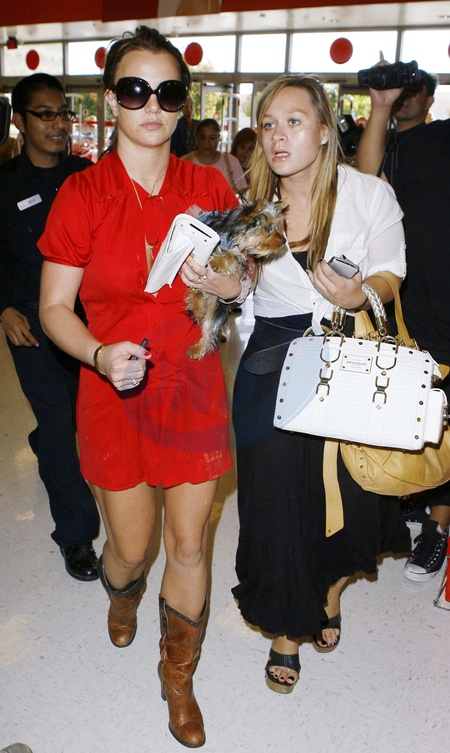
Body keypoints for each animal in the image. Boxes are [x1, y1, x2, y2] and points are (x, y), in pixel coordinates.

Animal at [186, 200, 287, 359]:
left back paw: (199, 346)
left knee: (209, 325)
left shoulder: (241, 256)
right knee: (198, 297)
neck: (233, 236)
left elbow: (232, 256)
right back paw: (197, 305)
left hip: (216, 307)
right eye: (267, 227)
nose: (284, 240)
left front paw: (218, 262)